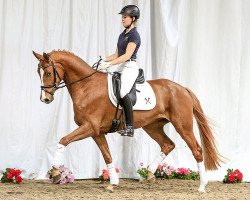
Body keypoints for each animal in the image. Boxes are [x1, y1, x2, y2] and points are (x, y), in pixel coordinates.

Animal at [32, 49, 222, 192]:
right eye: (38, 73)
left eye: (48, 72)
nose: (45, 99)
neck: (87, 86)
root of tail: (182, 88)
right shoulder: (96, 132)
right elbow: (107, 155)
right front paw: (113, 183)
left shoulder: (90, 127)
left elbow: (63, 140)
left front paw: (55, 172)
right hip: (152, 126)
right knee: (168, 145)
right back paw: (150, 173)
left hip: (183, 126)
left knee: (196, 150)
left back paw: (202, 186)